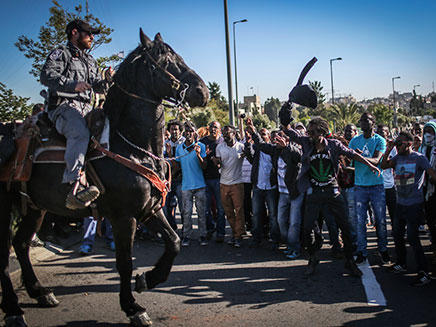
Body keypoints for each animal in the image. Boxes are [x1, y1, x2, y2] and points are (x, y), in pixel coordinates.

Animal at [0, 29, 209, 326]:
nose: (202, 92)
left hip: (34, 207)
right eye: (165, 60)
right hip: (4, 208)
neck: (131, 146)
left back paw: (40, 292)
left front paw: (147, 279)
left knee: (21, 243)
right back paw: (13, 310)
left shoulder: (150, 209)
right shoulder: (123, 217)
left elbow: (174, 242)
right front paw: (133, 307)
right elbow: (125, 262)